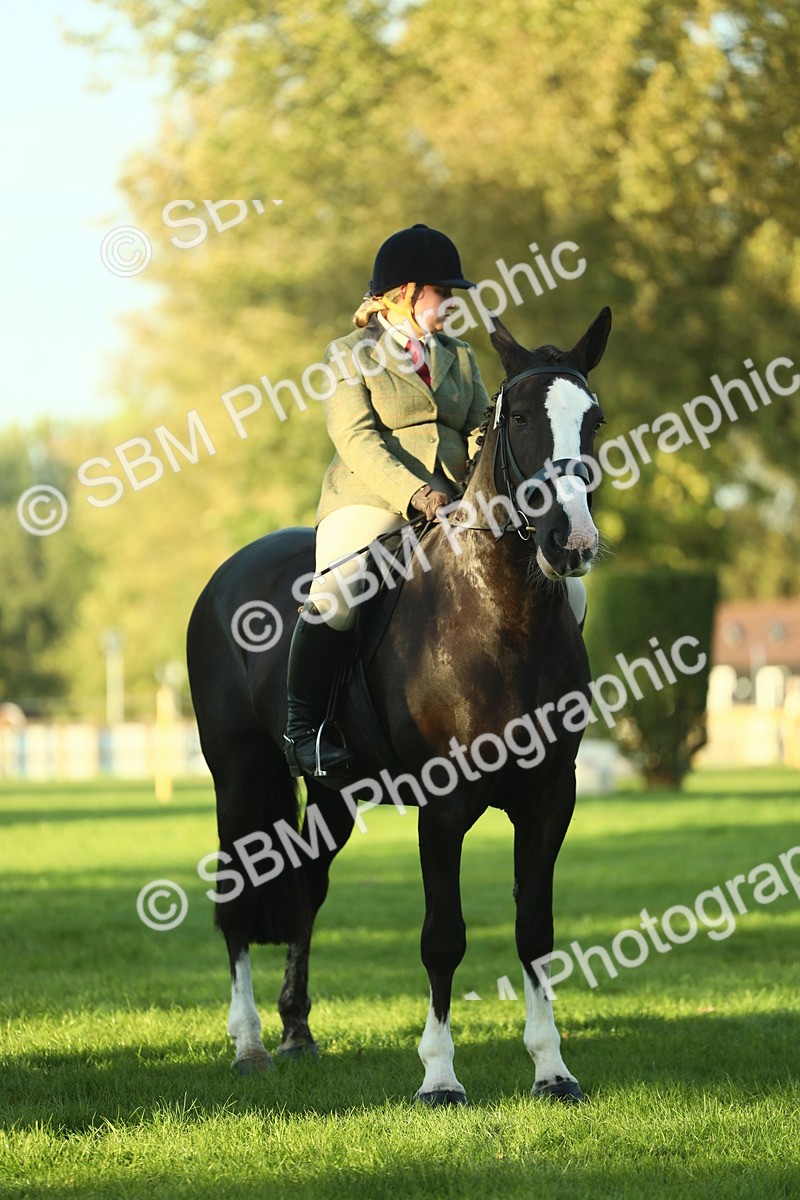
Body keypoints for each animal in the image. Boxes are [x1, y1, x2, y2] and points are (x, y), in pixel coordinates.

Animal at [186, 306, 611, 1105]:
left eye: (593, 420)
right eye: (517, 418)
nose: (570, 542)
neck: (501, 614)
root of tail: (229, 571)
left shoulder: (549, 798)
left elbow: (535, 931)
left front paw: (552, 1069)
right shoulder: (442, 807)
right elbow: (443, 936)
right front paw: (440, 1077)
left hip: (331, 791)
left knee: (307, 890)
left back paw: (297, 1032)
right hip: (240, 778)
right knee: (237, 897)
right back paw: (249, 1044)